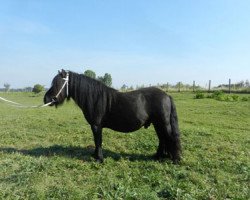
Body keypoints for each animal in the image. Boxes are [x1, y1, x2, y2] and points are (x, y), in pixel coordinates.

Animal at [44, 69, 182, 163]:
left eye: (57, 83)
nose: (46, 99)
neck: (94, 98)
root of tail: (166, 95)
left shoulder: (96, 126)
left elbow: (98, 141)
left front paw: (99, 159)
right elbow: (96, 141)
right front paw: (95, 156)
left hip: (163, 123)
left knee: (170, 138)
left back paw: (175, 159)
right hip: (157, 123)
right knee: (162, 139)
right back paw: (158, 156)